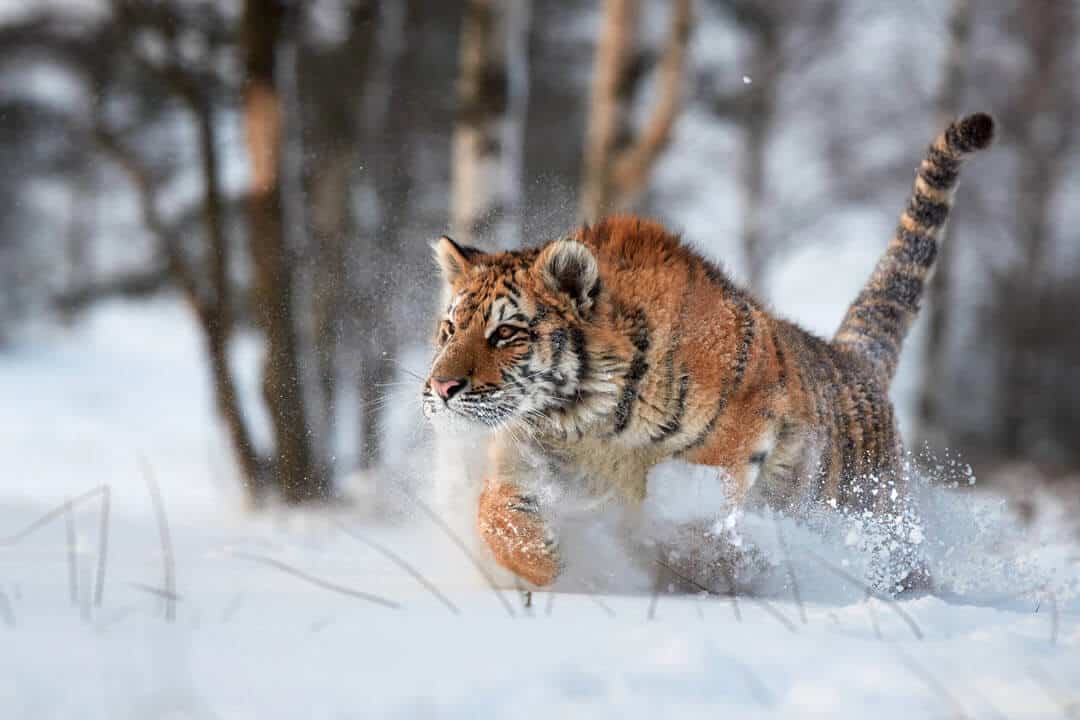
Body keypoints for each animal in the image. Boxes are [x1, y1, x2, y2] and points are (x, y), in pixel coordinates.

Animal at [421, 111, 993, 591]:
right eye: (449, 329)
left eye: (505, 334)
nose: (442, 388)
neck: (587, 417)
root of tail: (854, 359)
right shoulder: (525, 447)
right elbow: (495, 507)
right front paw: (542, 563)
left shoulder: (740, 428)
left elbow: (697, 505)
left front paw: (710, 559)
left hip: (877, 511)